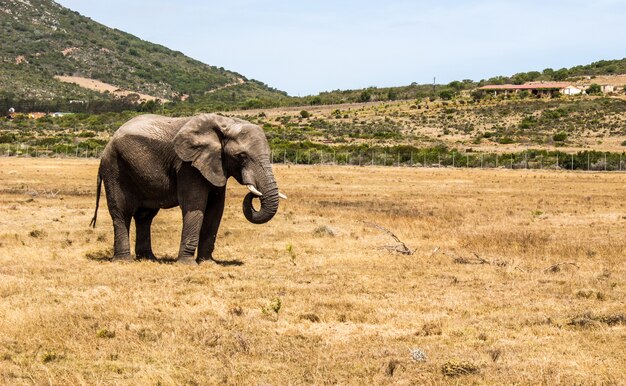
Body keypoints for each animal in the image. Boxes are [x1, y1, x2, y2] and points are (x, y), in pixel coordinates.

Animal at [89, 113, 286, 264]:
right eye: (241, 156)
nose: (254, 194)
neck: (225, 123)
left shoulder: (214, 165)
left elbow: (216, 209)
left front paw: (207, 263)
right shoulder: (187, 165)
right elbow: (195, 205)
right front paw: (187, 263)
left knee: (145, 216)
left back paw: (149, 259)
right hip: (114, 168)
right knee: (122, 212)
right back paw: (124, 261)